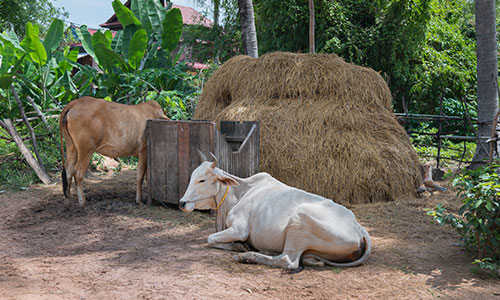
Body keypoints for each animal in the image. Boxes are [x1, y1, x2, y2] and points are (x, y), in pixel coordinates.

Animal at [177, 154, 372, 270]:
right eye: (192, 176)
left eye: (202, 180)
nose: (182, 203)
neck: (239, 192)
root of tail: (359, 228)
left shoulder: (239, 229)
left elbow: (210, 239)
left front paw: (240, 246)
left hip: (300, 219)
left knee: (288, 261)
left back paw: (247, 256)